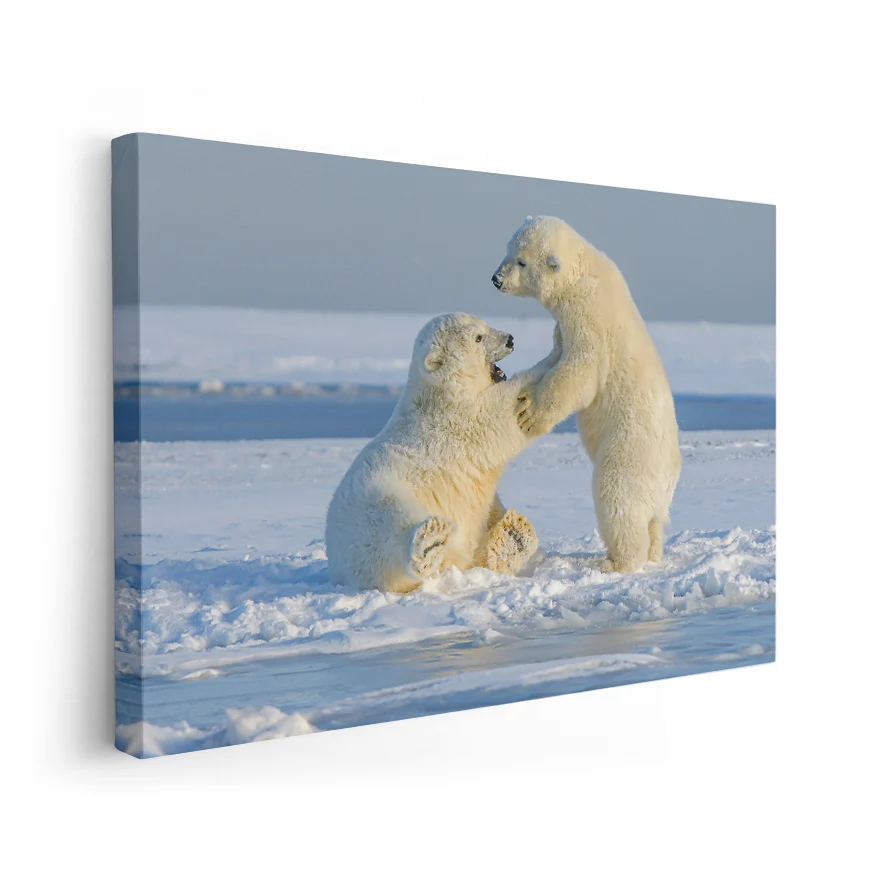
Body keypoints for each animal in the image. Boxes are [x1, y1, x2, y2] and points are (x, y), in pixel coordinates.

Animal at [326, 313, 541, 594]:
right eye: (478, 337)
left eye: (485, 325)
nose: (510, 339)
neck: (439, 393)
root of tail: (337, 564)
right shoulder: (455, 422)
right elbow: (496, 414)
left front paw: (510, 535)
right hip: (376, 500)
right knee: (390, 530)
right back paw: (430, 541)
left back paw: (514, 534)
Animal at [491, 216, 682, 573]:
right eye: (507, 251)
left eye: (521, 262)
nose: (495, 279)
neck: (585, 273)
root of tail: (667, 480)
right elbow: (557, 353)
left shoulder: (588, 318)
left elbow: (580, 372)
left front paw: (528, 412)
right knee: (653, 523)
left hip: (628, 453)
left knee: (617, 500)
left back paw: (616, 562)